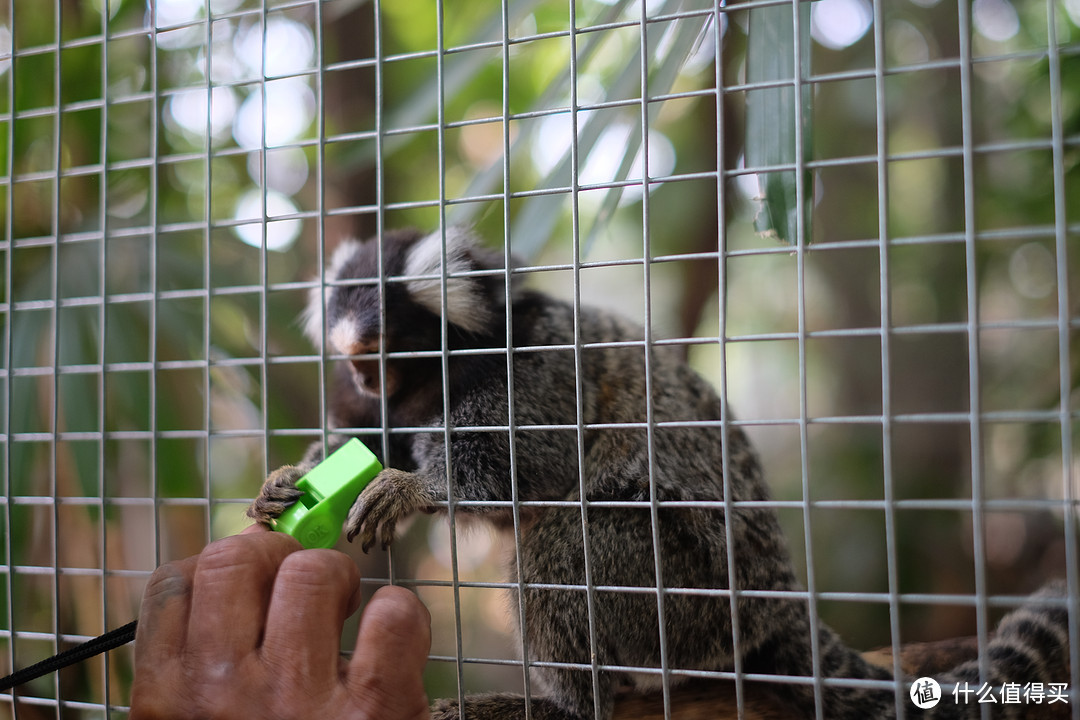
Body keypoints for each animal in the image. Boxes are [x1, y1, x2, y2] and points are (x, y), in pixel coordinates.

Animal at [250, 229, 1071, 720]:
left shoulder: (539, 370)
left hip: (690, 595)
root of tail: (776, 603)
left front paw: (416, 488)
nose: (359, 364)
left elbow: (521, 464)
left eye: (380, 341)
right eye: (350, 351)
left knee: (568, 547)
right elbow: (366, 443)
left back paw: (570, 703)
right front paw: (291, 480)